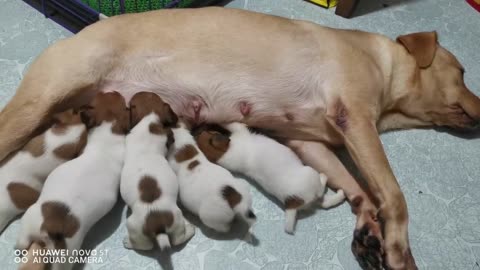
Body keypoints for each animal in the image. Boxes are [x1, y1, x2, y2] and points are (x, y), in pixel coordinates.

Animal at [15, 93, 129, 270]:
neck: (109, 127)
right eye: (105, 96)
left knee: (22, 244)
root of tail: (52, 227)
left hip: (35, 227)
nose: (115, 91)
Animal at [193, 123, 346, 234]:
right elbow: (231, 122)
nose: (198, 128)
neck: (222, 154)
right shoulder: (240, 128)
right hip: (310, 174)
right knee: (321, 190)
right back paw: (324, 177)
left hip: (311, 198)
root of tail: (292, 202)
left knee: (326, 203)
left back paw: (340, 194)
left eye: (204, 131)